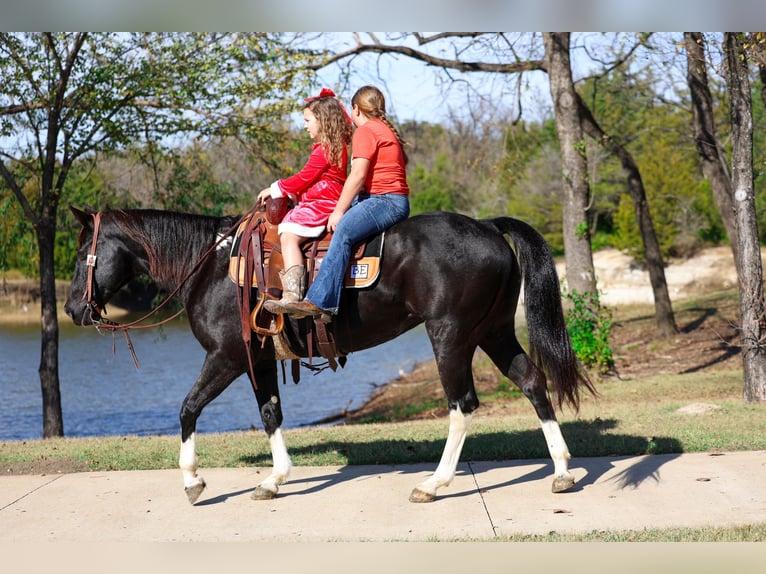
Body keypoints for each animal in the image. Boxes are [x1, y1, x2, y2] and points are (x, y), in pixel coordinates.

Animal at [64, 206, 595, 505]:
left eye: (82, 252)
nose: (71, 309)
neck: (211, 268)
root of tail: (486, 225)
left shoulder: (226, 358)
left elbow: (188, 409)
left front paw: (193, 482)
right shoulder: (259, 361)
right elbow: (270, 414)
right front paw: (275, 480)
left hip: (451, 336)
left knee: (461, 405)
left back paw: (433, 484)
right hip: (494, 331)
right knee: (533, 383)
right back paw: (562, 471)